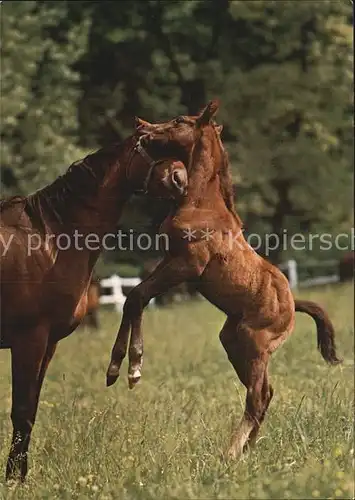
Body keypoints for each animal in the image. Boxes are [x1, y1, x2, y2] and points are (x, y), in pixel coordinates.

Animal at [0, 131, 189, 482]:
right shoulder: (28, 339)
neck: (48, 240)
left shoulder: (47, 344)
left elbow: (30, 411)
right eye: (150, 142)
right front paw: (13, 480)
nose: (180, 178)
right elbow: (21, 411)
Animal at [107, 100, 344, 460]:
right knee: (266, 393)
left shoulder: (188, 265)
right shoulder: (169, 259)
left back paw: (231, 453)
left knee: (257, 396)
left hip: (254, 343)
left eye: (178, 121)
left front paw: (132, 368)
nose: (141, 126)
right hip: (232, 341)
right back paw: (247, 449)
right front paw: (117, 368)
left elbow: (136, 297)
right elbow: (135, 297)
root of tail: (292, 304)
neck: (201, 204)